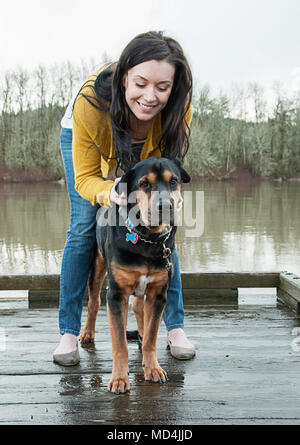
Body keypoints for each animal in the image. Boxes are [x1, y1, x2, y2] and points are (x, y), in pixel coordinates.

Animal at [79, 155, 190, 392]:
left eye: (173, 181)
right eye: (144, 184)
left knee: (139, 308)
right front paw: (119, 379)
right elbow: (119, 343)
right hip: (97, 264)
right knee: (94, 302)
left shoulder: (158, 294)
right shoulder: (116, 294)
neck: (147, 240)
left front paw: (153, 368)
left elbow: (151, 336)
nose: (165, 206)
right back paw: (87, 333)